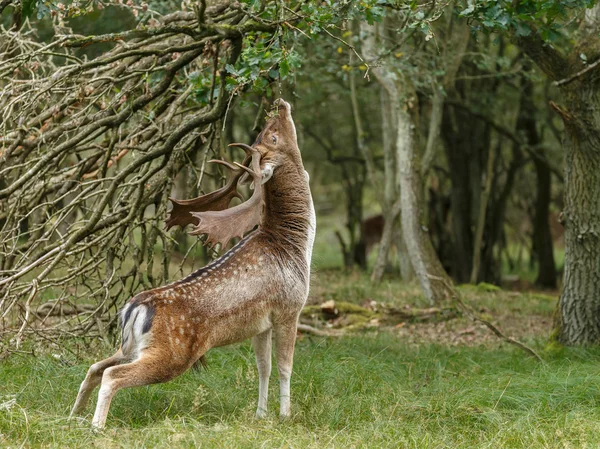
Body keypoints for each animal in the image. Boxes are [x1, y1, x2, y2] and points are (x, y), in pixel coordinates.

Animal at [70, 98, 316, 428]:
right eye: (273, 136)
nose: (278, 103)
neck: (296, 247)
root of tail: (133, 308)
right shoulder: (290, 308)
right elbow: (285, 367)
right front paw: (285, 416)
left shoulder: (261, 323)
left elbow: (262, 367)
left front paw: (260, 414)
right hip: (172, 354)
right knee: (111, 374)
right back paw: (97, 426)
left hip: (131, 346)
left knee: (95, 366)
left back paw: (73, 415)